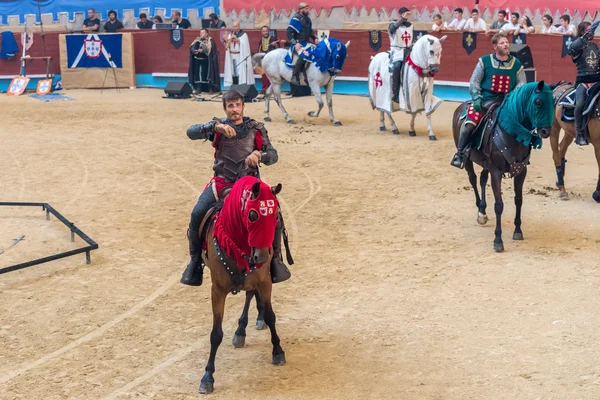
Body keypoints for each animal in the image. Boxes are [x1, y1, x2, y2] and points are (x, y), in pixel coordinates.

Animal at [197, 176, 286, 394]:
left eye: (275, 216)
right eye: (252, 215)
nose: (261, 257)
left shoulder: (265, 281)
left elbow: (271, 316)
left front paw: (278, 351)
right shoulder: (217, 290)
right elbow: (216, 333)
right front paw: (207, 377)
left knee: (250, 294)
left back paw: (245, 326)